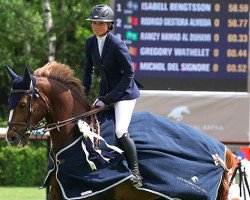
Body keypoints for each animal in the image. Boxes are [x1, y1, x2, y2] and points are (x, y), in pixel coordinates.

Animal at [4, 61, 233, 200]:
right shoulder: (60, 191)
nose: (11, 137)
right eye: (10, 101)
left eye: (22, 104)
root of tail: (221, 153)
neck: (75, 135)